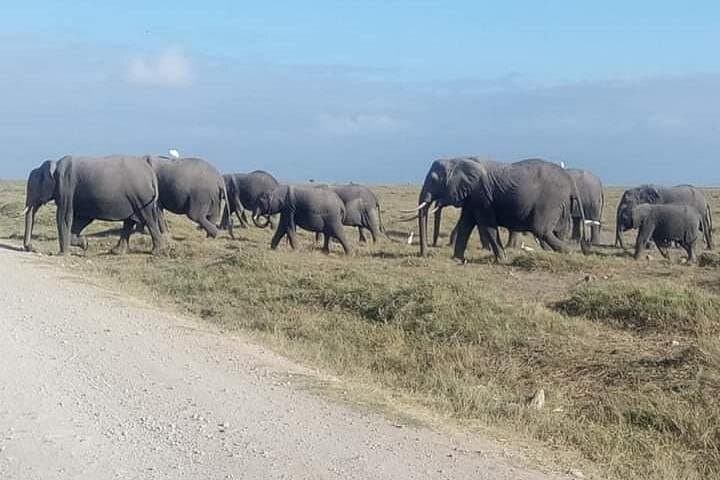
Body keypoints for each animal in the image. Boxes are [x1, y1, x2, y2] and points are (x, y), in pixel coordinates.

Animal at [23, 155, 165, 255]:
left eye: (33, 189)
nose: (31, 248)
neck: (55, 164)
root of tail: (152, 174)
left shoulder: (66, 187)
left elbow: (64, 216)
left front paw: (62, 254)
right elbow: (81, 218)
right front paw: (84, 244)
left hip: (141, 197)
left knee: (148, 219)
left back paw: (156, 252)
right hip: (135, 198)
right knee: (130, 221)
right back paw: (116, 252)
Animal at [411, 157, 588, 261]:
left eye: (434, 179)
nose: (426, 255)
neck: (457, 159)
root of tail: (570, 182)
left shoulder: (481, 195)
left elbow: (488, 225)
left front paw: (502, 260)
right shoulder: (472, 198)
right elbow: (466, 225)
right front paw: (457, 259)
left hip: (550, 201)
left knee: (541, 229)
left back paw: (568, 252)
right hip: (562, 204)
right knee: (558, 230)